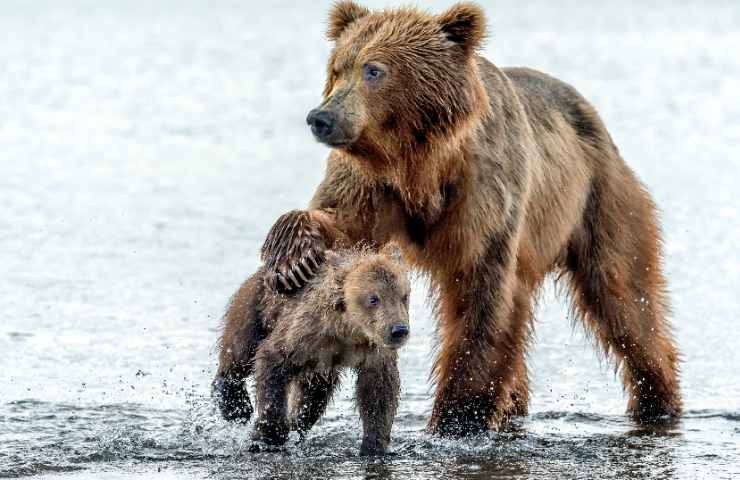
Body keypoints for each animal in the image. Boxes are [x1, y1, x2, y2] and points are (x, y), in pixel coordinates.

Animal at [260, 0, 684, 436]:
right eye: (336, 68)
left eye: (374, 69)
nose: (321, 118)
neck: (419, 165)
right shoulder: (369, 185)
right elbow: (339, 226)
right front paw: (294, 258)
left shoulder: (483, 193)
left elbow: (481, 298)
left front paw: (457, 417)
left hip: (600, 199)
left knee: (625, 296)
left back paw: (657, 399)